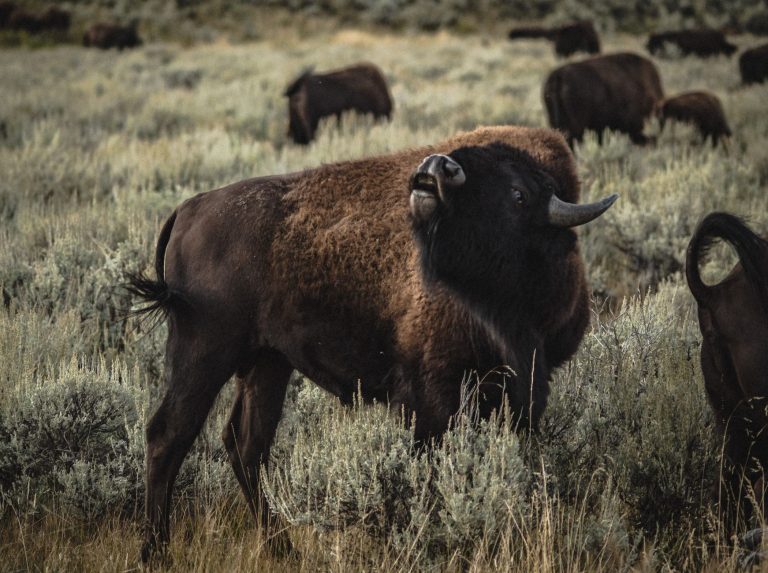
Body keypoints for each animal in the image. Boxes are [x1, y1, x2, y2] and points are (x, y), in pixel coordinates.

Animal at [128, 126, 617, 561]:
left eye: (518, 195)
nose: (437, 168)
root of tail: (190, 207)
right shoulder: (431, 395)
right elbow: (430, 466)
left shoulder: (518, 392)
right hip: (203, 354)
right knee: (168, 435)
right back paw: (157, 552)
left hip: (268, 363)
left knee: (247, 446)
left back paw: (283, 549)